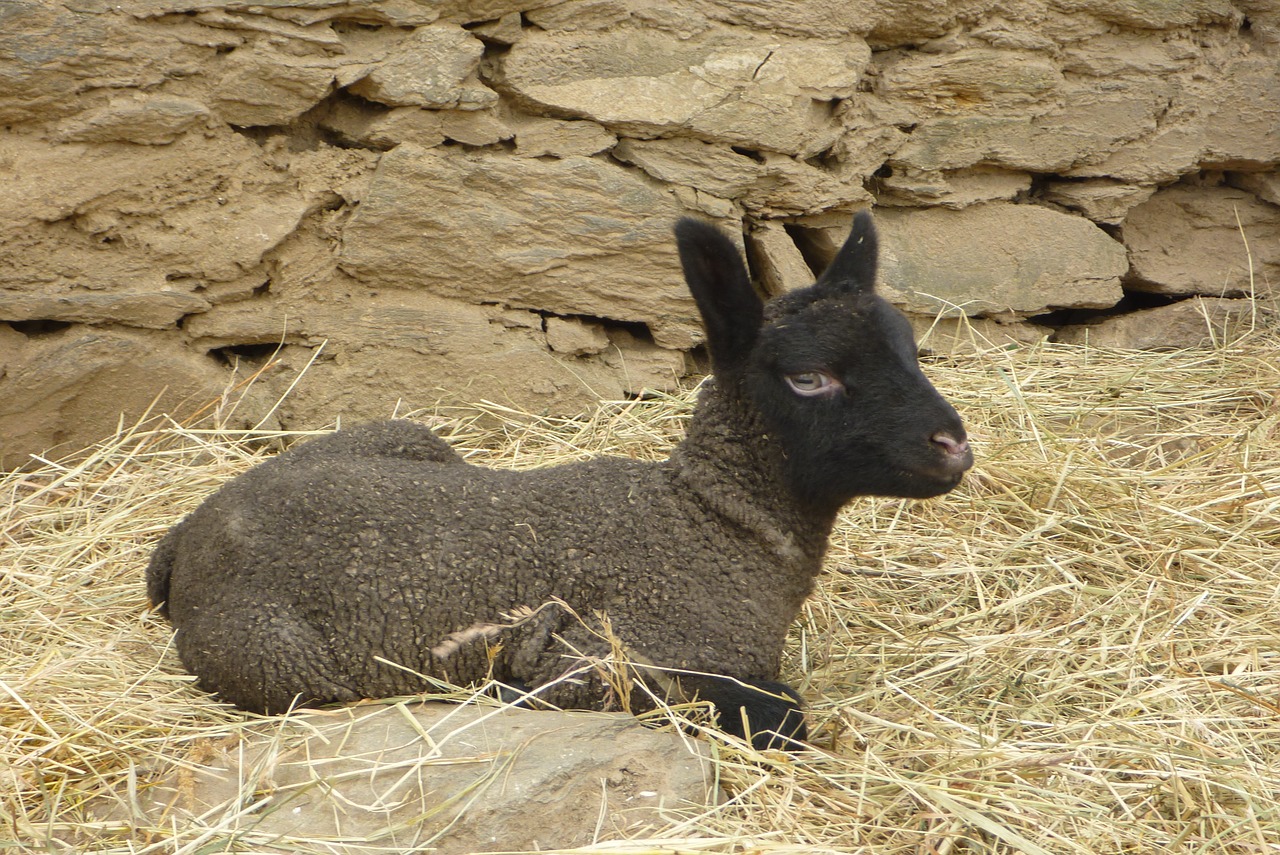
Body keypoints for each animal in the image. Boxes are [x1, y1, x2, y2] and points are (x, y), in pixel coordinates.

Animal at [145, 213, 967, 747]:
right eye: (808, 377)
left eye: (909, 347)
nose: (954, 445)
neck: (709, 522)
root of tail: (191, 531)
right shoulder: (612, 652)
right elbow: (780, 712)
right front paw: (506, 691)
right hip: (272, 657)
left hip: (411, 438)